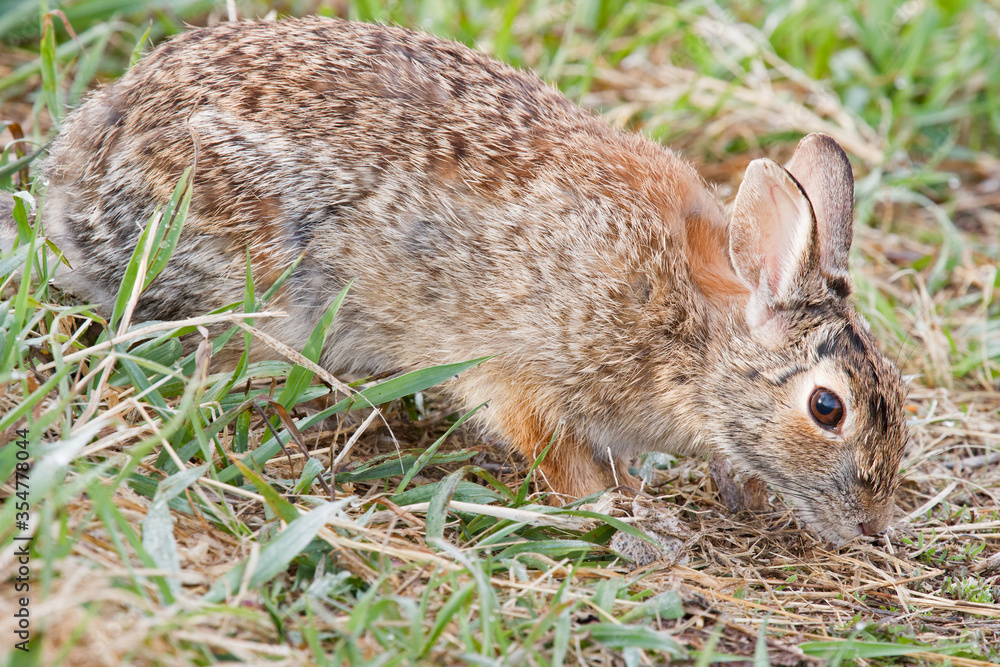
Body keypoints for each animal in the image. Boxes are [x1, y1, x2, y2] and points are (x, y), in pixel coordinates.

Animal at [22, 16, 907, 546]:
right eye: (827, 409)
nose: (873, 527)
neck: (689, 330)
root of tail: (73, 177)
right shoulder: (526, 371)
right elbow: (556, 456)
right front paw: (628, 517)